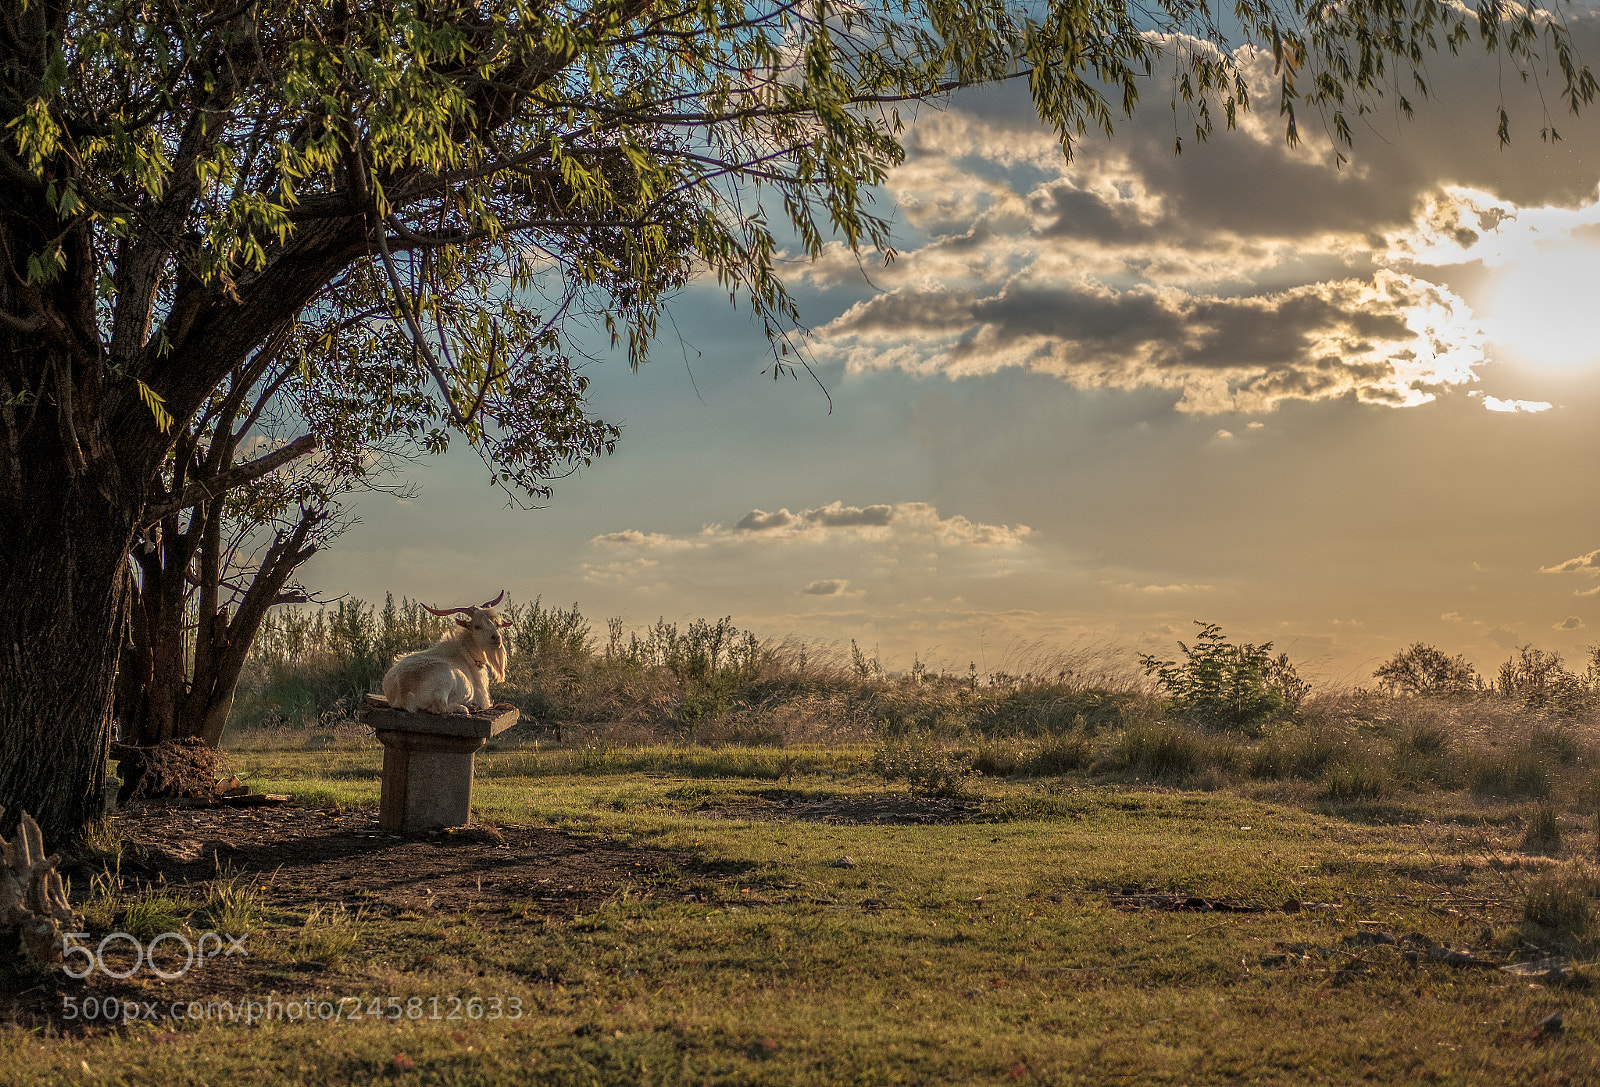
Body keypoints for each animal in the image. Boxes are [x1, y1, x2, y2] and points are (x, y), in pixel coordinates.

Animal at [381, 591, 514, 714]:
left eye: (497, 624)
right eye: (477, 626)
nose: (496, 638)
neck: (466, 653)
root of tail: (405, 694)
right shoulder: (482, 698)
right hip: (444, 682)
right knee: (440, 707)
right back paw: (465, 708)